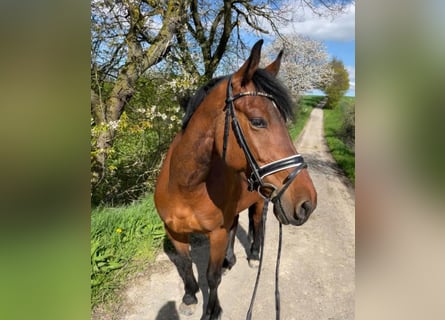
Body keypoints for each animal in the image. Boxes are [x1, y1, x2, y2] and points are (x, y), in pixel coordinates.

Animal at [154, 40, 318, 320]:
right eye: (258, 121)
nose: (308, 203)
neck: (186, 187)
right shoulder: (174, 230)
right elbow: (186, 264)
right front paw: (189, 297)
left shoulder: (216, 234)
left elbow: (212, 276)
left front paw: (212, 311)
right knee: (235, 225)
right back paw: (229, 260)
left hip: (261, 202)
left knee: (256, 224)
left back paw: (253, 255)